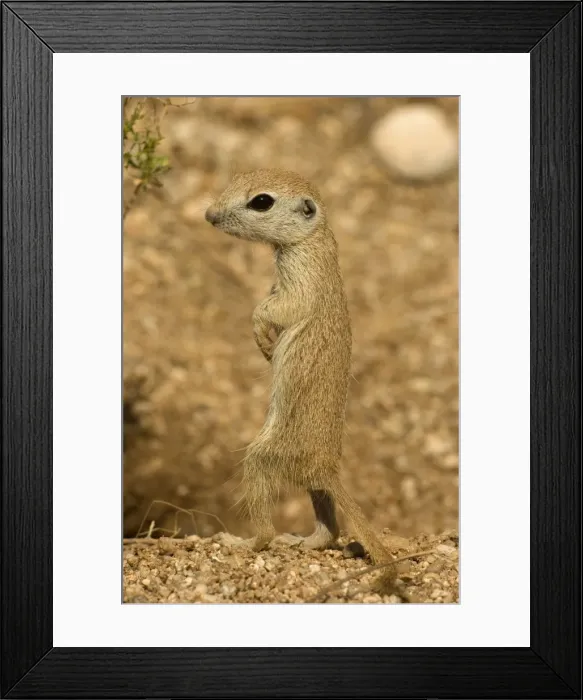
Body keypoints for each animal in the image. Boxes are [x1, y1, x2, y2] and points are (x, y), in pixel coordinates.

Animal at [206, 169, 395, 583]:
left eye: (261, 201)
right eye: (236, 177)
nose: (209, 215)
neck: (312, 242)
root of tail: (327, 465)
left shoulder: (301, 282)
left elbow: (275, 307)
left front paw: (262, 334)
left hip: (265, 455)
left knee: (266, 521)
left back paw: (245, 542)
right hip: (312, 480)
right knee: (329, 526)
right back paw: (304, 540)